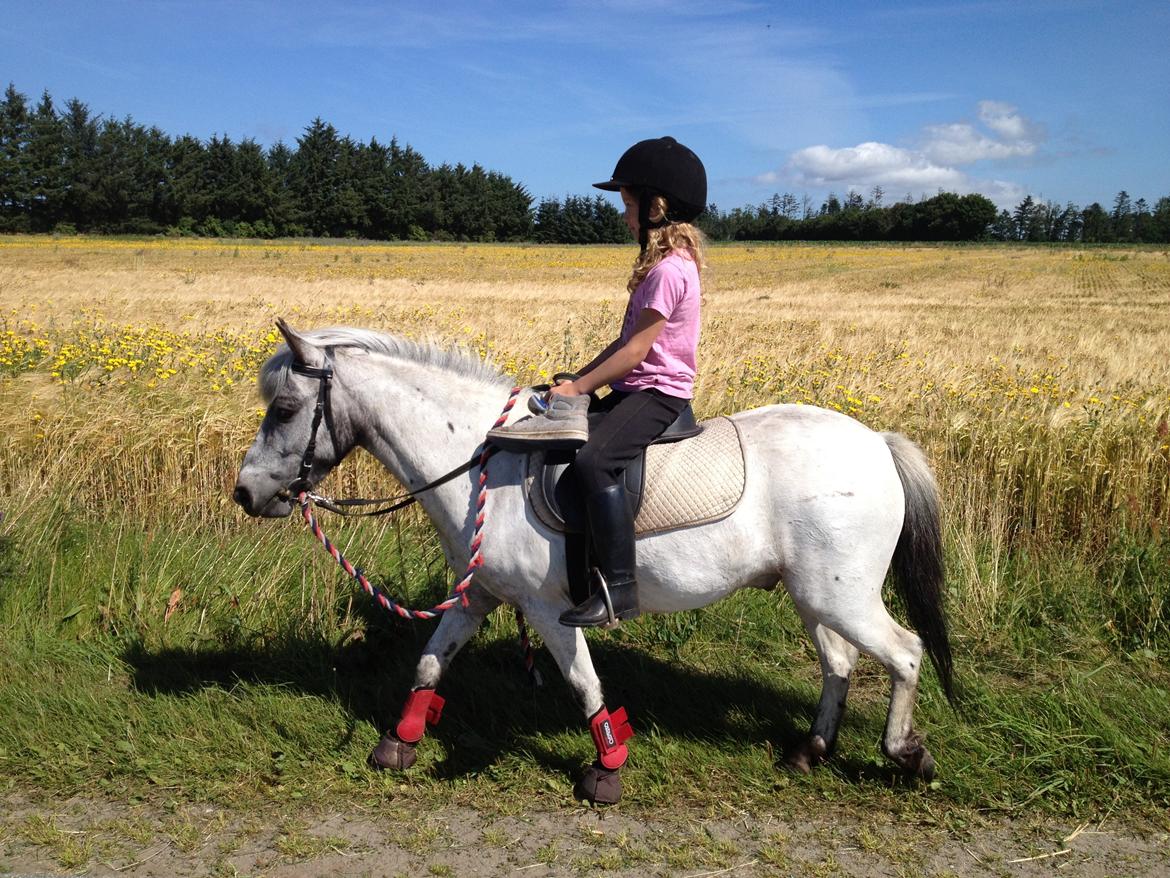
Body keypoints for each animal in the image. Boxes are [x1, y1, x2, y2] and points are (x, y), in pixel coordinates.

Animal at [233, 320, 954, 804]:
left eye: (286, 408)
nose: (245, 493)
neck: (481, 461)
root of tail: (877, 443)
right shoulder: (477, 596)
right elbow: (431, 663)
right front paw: (398, 742)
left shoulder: (549, 610)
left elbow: (585, 685)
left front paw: (605, 773)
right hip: (813, 595)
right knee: (840, 661)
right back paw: (810, 750)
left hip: (841, 595)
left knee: (905, 652)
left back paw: (906, 754)